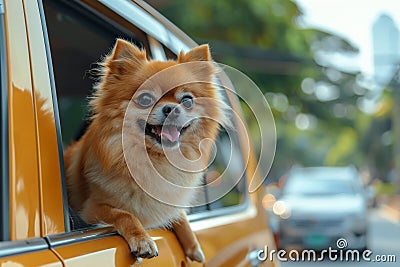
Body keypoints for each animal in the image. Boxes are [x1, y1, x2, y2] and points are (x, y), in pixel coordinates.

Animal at [65, 39, 228, 264]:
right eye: (145, 99)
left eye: (187, 101)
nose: (171, 108)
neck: (156, 160)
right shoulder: (91, 208)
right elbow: (124, 214)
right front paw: (142, 240)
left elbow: (179, 214)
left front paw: (193, 245)